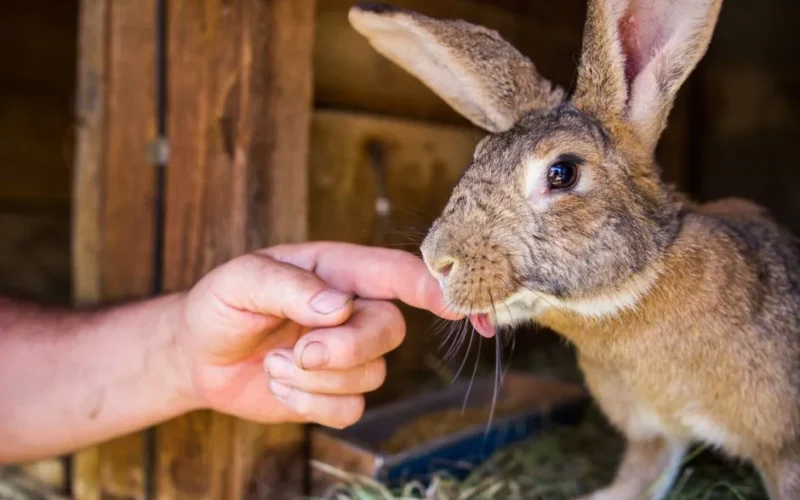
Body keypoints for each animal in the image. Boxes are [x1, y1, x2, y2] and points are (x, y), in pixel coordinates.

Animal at [348, 1, 800, 499]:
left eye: (562, 172)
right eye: (479, 156)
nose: (437, 260)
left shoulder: (784, 448)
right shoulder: (654, 434)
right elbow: (640, 477)